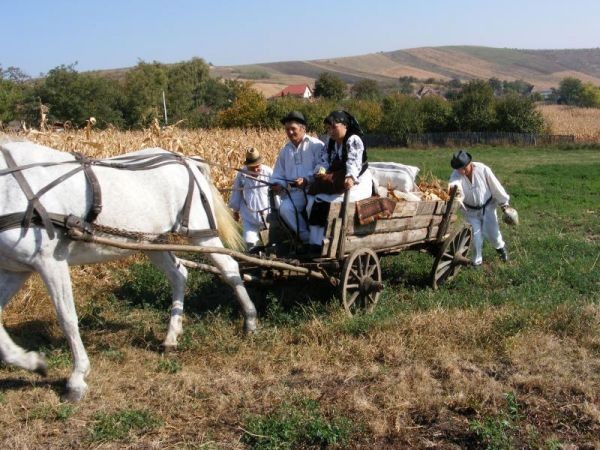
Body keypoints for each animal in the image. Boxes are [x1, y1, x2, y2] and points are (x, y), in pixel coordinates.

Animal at [0, 137, 257, 402]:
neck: (10, 185)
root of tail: (186, 159)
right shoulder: (15, 269)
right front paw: (33, 362)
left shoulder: (50, 261)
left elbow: (67, 317)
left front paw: (77, 379)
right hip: (151, 241)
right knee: (178, 274)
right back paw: (171, 337)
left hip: (200, 234)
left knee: (229, 269)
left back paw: (250, 320)